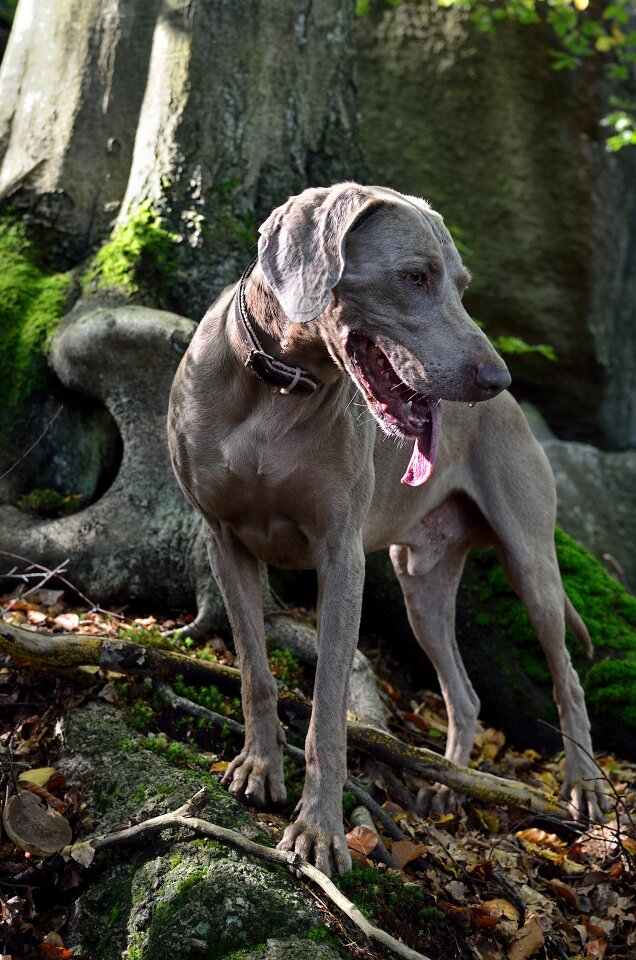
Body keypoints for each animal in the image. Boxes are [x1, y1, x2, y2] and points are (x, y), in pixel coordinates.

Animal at [168, 182, 608, 876]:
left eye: (461, 284)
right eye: (415, 277)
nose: (496, 379)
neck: (278, 389)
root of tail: (518, 413)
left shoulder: (340, 558)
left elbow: (327, 709)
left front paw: (318, 831)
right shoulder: (224, 540)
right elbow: (255, 670)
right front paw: (259, 768)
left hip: (531, 560)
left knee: (567, 678)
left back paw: (584, 786)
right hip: (420, 587)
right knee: (465, 697)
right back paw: (446, 787)